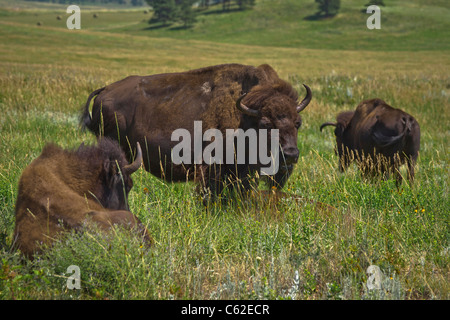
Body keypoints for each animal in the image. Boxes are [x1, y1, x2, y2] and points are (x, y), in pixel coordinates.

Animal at [81, 63, 312, 201]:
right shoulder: (213, 168)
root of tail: (104, 91)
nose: (290, 154)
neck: (244, 117)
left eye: (298, 123)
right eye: (265, 123)